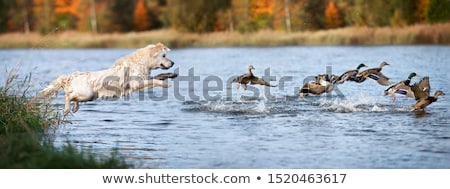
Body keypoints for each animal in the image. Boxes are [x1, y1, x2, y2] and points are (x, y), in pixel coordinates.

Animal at [37, 42, 178, 115]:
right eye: (164, 55)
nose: (173, 63)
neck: (142, 63)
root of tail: (72, 76)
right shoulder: (137, 84)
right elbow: (155, 81)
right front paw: (166, 85)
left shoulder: (144, 79)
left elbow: (158, 76)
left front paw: (171, 75)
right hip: (87, 94)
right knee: (68, 96)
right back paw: (67, 109)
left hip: (89, 96)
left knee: (73, 97)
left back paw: (75, 108)